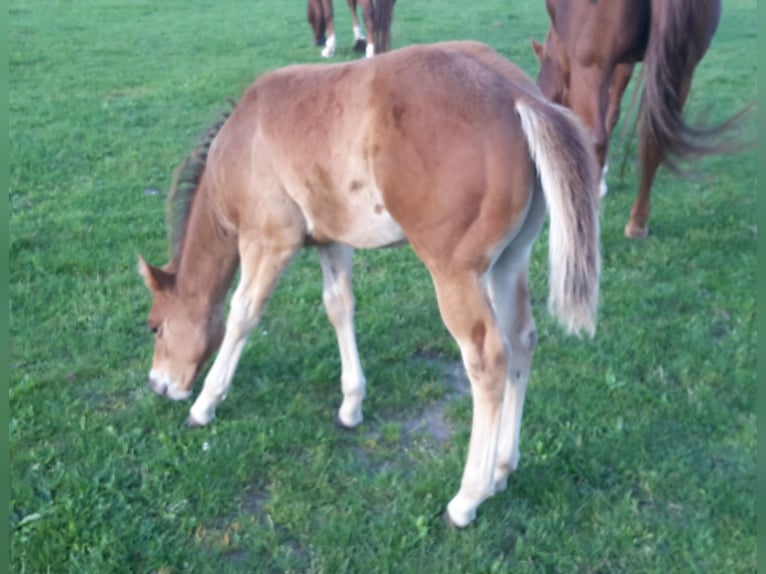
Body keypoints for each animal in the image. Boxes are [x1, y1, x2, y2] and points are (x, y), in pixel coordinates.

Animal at [140, 40, 608, 528]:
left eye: (154, 327)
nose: (158, 384)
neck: (239, 143)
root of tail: (517, 94)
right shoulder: (331, 239)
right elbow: (339, 306)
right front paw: (351, 405)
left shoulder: (268, 240)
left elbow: (243, 315)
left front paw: (203, 405)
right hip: (509, 262)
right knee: (522, 341)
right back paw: (501, 468)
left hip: (455, 272)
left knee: (490, 357)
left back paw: (468, 497)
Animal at [532, 0, 740, 238]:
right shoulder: (625, 64)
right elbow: (612, 114)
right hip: (681, 68)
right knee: (654, 139)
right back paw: (638, 222)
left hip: (592, 67)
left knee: (596, 137)